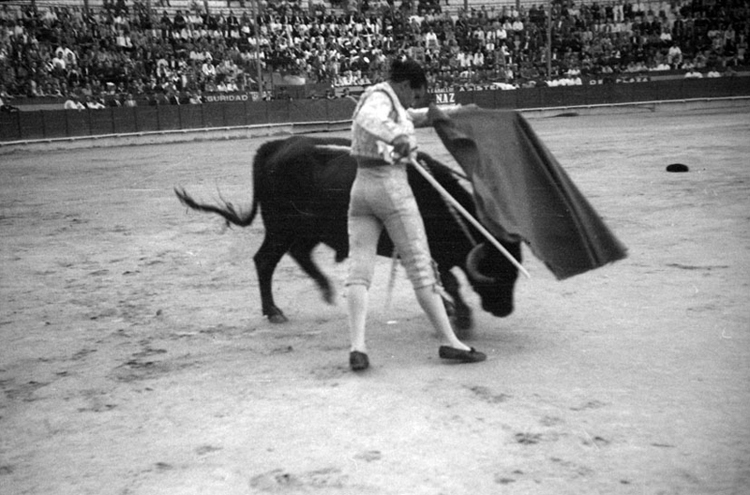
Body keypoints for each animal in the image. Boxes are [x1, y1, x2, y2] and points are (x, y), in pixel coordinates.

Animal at [175, 136, 524, 332]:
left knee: (298, 255)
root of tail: (273, 147)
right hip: (281, 228)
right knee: (264, 261)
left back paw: (324, 289)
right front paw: (462, 317)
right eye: (498, 271)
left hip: (307, 230)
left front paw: (450, 309)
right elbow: (448, 280)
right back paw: (274, 311)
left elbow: (439, 278)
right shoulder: (420, 248)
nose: (505, 310)